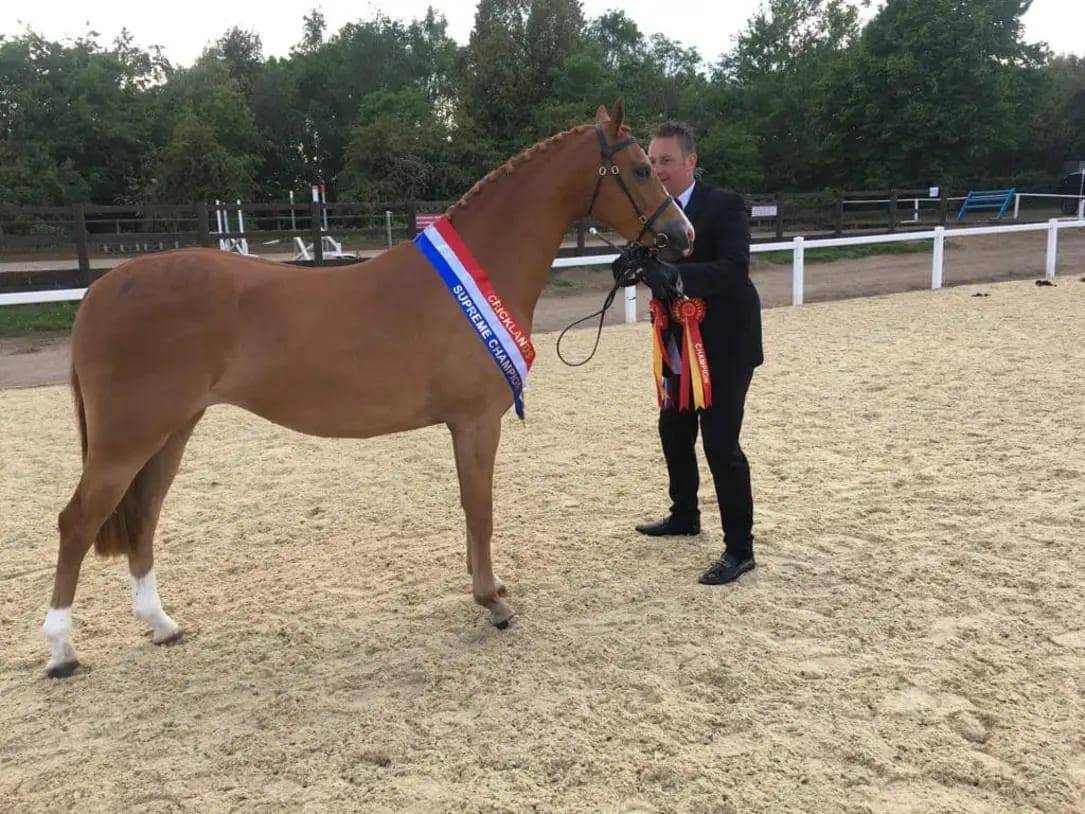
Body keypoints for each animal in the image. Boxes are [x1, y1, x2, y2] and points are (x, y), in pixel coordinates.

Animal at [41, 100, 694, 678]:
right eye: (641, 169)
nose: (683, 234)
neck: (479, 272)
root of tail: (101, 292)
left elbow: (472, 509)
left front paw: (488, 588)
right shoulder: (477, 421)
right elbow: (479, 509)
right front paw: (493, 602)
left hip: (171, 431)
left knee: (144, 515)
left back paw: (161, 625)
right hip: (127, 439)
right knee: (77, 523)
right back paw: (61, 652)